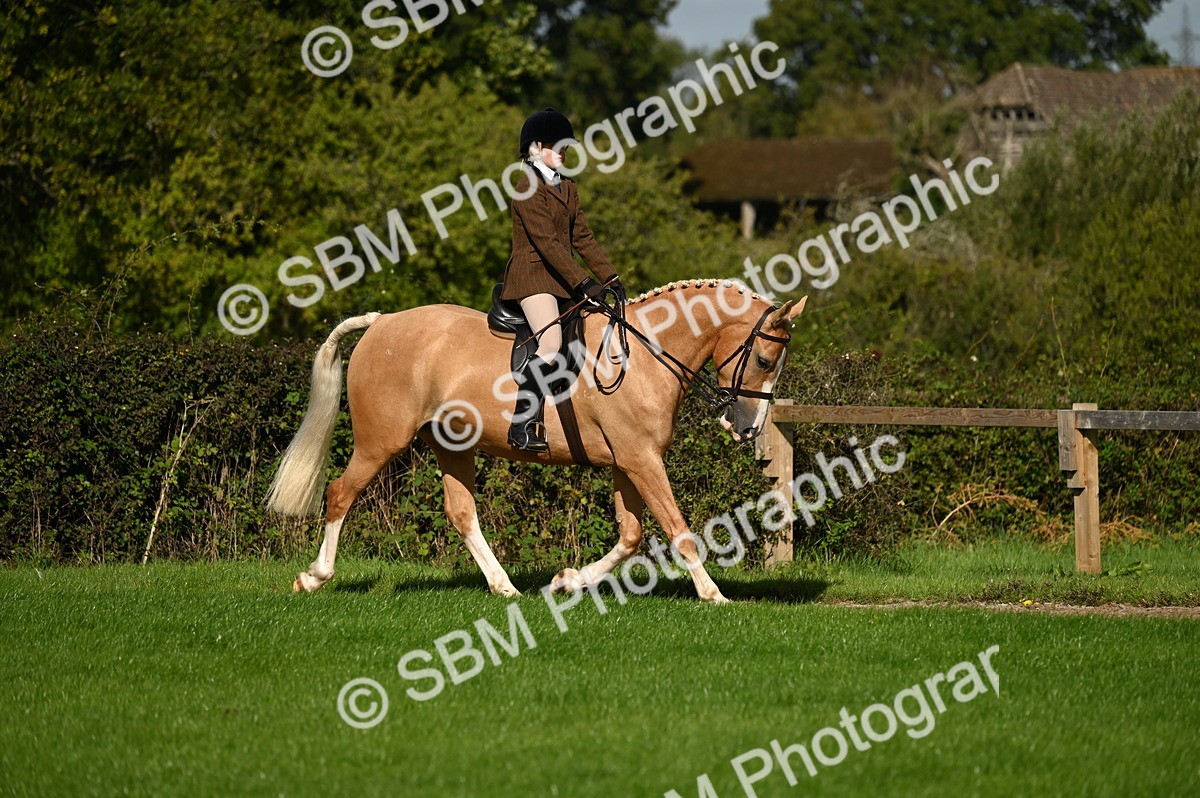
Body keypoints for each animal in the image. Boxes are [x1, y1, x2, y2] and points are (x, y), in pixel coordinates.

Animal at [266, 279, 806, 603]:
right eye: (763, 360)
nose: (748, 427)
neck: (643, 355)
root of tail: (381, 322)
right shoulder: (641, 459)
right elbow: (678, 529)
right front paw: (714, 595)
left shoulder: (628, 461)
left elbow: (631, 536)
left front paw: (569, 581)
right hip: (381, 442)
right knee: (340, 494)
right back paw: (314, 576)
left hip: (452, 446)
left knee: (461, 512)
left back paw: (504, 587)